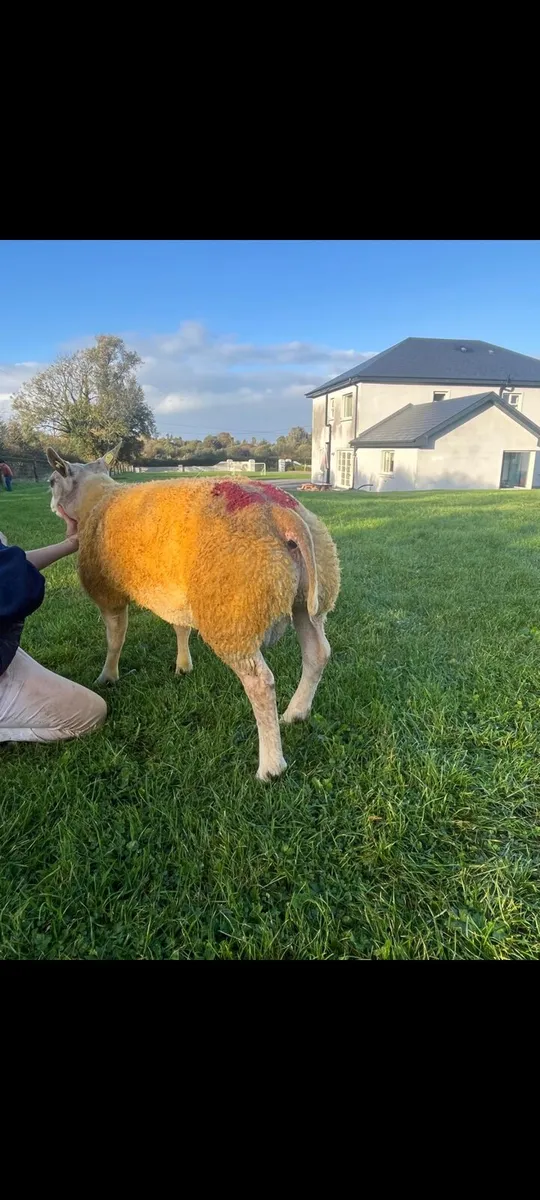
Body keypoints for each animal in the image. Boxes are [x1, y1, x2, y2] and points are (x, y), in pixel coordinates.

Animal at [47, 445, 341, 780]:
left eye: (52, 481)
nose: (50, 503)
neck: (98, 499)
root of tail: (280, 512)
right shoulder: (177, 595)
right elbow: (181, 628)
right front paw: (183, 665)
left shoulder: (106, 591)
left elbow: (115, 639)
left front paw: (107, 677)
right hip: (310, 595)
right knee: (318, 653)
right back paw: (296, 713)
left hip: (232, 612)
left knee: (260, 681)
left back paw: (270, 766)